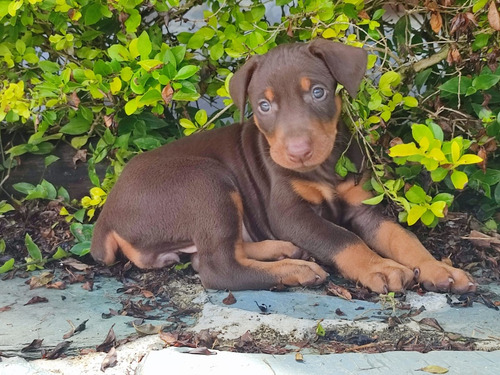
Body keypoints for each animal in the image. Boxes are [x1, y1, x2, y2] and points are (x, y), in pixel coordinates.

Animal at [91, 39, 476, 296]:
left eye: (318, 93)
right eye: (264, 105)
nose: (298, 151)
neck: (324, 168)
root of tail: (107, 216)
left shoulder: (364, 207)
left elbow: (403, 237)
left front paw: (439, 268)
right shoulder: (289, 213)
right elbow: (342, 237)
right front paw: (380, 267)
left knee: (215, 252)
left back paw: (283, 251)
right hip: (207, 181)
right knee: (216, 268)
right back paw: (297, 269)